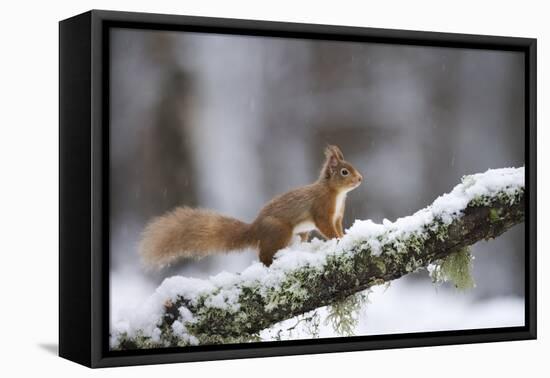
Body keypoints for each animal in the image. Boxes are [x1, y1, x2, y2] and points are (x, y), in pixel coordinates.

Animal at [140, 144, 364, 266]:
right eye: (344, 172)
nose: (360, 179)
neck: (337, 194)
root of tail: (255, 229)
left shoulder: (337, 216)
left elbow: (338, 227)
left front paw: (344, 237)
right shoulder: (322, 210)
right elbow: (326, 227)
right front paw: (338, 240)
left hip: (298, 233)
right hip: (279, 231)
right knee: (263, 255)